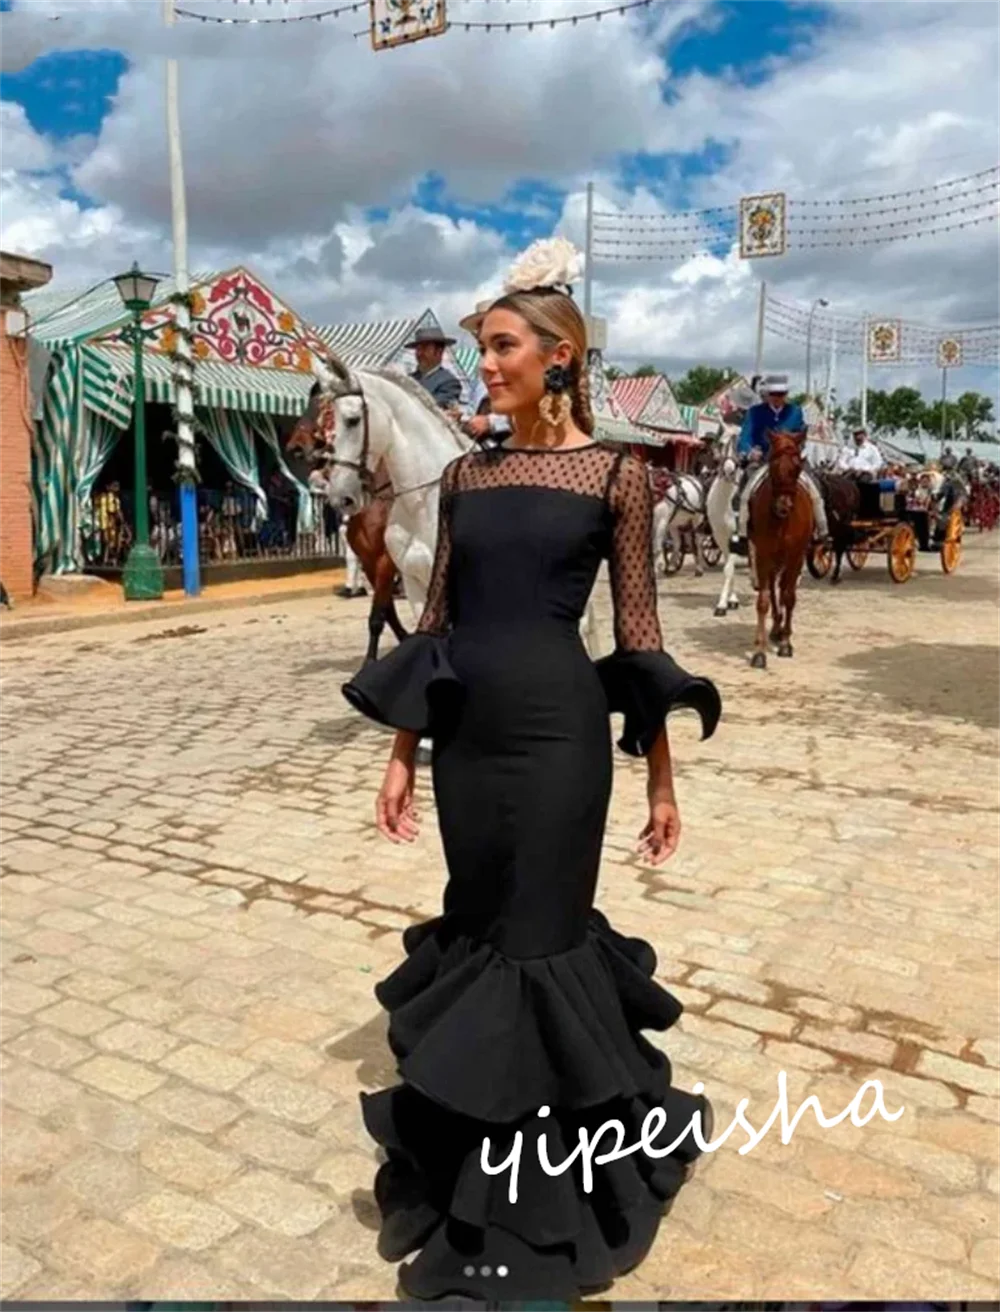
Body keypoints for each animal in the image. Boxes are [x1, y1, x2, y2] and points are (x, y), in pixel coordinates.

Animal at [284, 383, 409, 661]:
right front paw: (407, 639)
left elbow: (378, 615)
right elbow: (387, 611)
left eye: (325, 408)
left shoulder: (386, 560)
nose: (295, 448)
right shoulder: (370, 561)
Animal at [745, 432, 813, 666]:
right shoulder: (763, 555)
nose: (783, 507)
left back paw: (781, 631)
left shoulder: (796, 556)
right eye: (772, 465)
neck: (782, 521)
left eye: (798, 467)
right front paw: (759, 651)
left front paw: (786, 643)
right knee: (776, 589)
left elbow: (789, 597)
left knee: (784, 590)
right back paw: (775, 628)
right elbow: (764, 600)